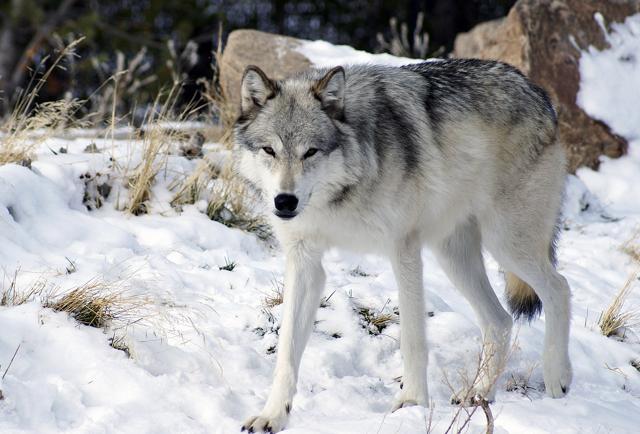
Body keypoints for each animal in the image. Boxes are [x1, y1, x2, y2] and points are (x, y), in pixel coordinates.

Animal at [234, 58, 568, 434]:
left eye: (310, 152)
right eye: (269, 150)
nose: (285, 201)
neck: (339, 195)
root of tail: (538, 92)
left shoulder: (403, 250)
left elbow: (412, 338)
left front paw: (411, 403)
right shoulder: (305, 263)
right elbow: (287, 351)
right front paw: (273, 415)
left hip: (506, 243)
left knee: (560, 288)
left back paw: (557, 379)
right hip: (454, 256)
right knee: (500, 320)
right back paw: (479, 393)